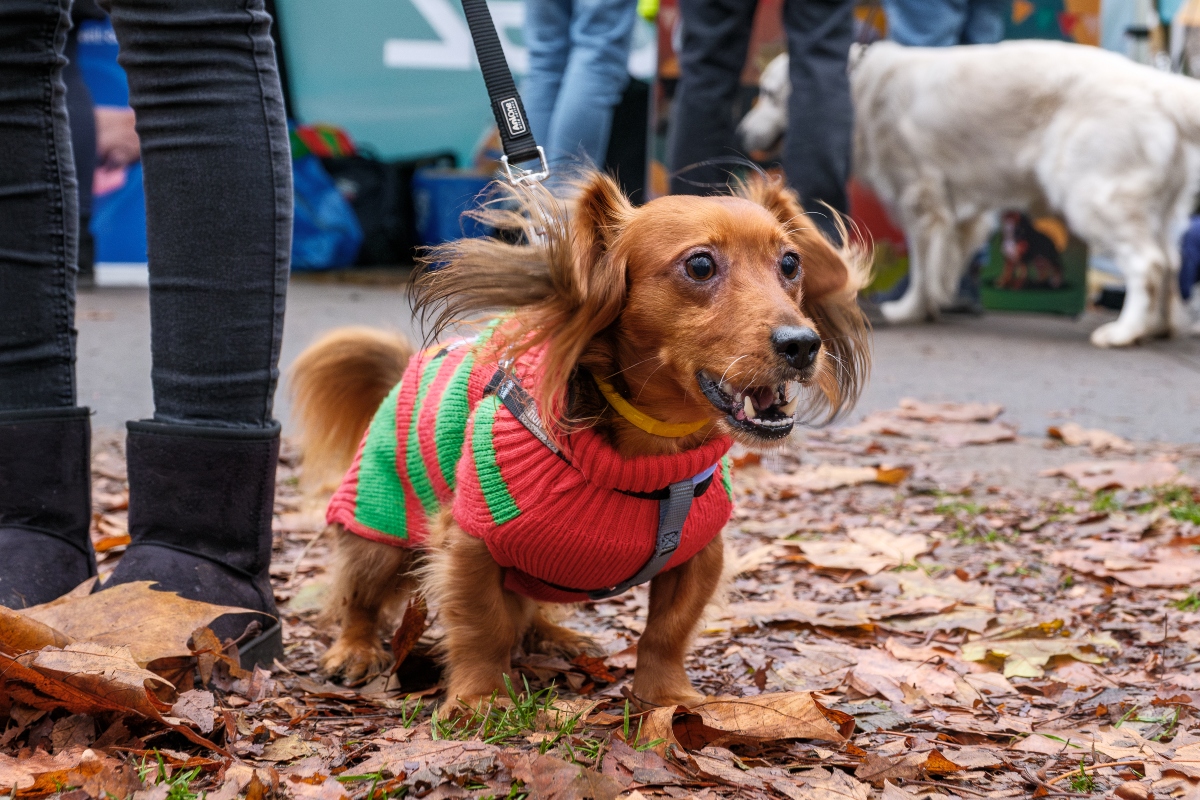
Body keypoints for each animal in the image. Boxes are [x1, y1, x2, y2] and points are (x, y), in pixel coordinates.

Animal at [291, 172, 873, 710]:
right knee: (360, 596)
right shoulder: (470, 541)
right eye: (701, 266)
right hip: (377, 526)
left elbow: (668, 632)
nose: (803, 345)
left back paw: (556, 637)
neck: (650, 458)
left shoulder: (700, 554)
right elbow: (482, 626)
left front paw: (666, 699)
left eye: (791, 264)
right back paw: (356, 650)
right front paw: (481, 699)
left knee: (528, 609)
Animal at [739, 43, 1200, 345]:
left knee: (1149, 264)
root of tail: (1161, 84)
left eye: (768, 94)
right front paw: (936, 302)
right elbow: (946, 261)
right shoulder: (960, 213)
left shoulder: (921, 198)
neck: (861, 86)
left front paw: (910, 309)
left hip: (1094, 196)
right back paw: (1159, 327)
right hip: (1160, 211)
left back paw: (1124, 331)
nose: (742, 132)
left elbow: (924, 265)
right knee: (1173, 264)